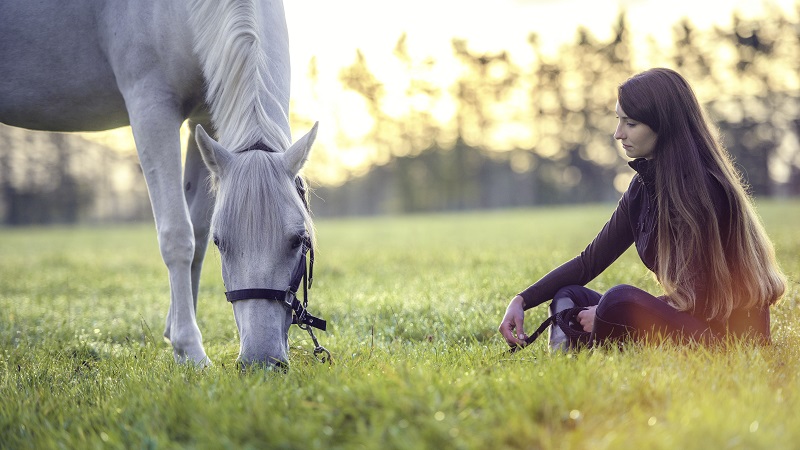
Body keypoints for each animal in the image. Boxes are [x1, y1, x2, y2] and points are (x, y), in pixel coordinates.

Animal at [0, 0, 320, 368]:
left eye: (299, 240)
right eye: (222, 243)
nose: (260, 361)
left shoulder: (204, 120)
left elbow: (196, 232)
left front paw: (175, 331)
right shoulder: (151, 107)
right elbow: (178, 236)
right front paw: (190, 350)